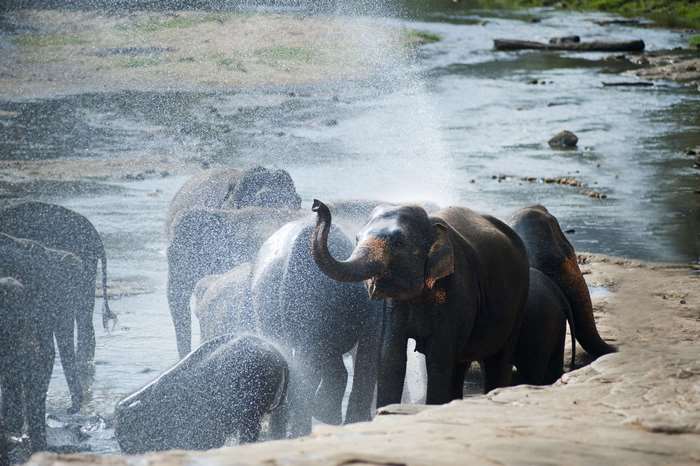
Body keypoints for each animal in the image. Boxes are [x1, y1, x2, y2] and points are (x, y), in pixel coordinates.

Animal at [311, 199, 530, 406]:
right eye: (356, 238)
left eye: (399, 243)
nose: (316, 205)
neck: (431, 224)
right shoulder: (395, 305)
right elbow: (391, 358)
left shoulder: (456, 291)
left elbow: (437, 359)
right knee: (460, 364)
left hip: (520, 299)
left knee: (498, 360)